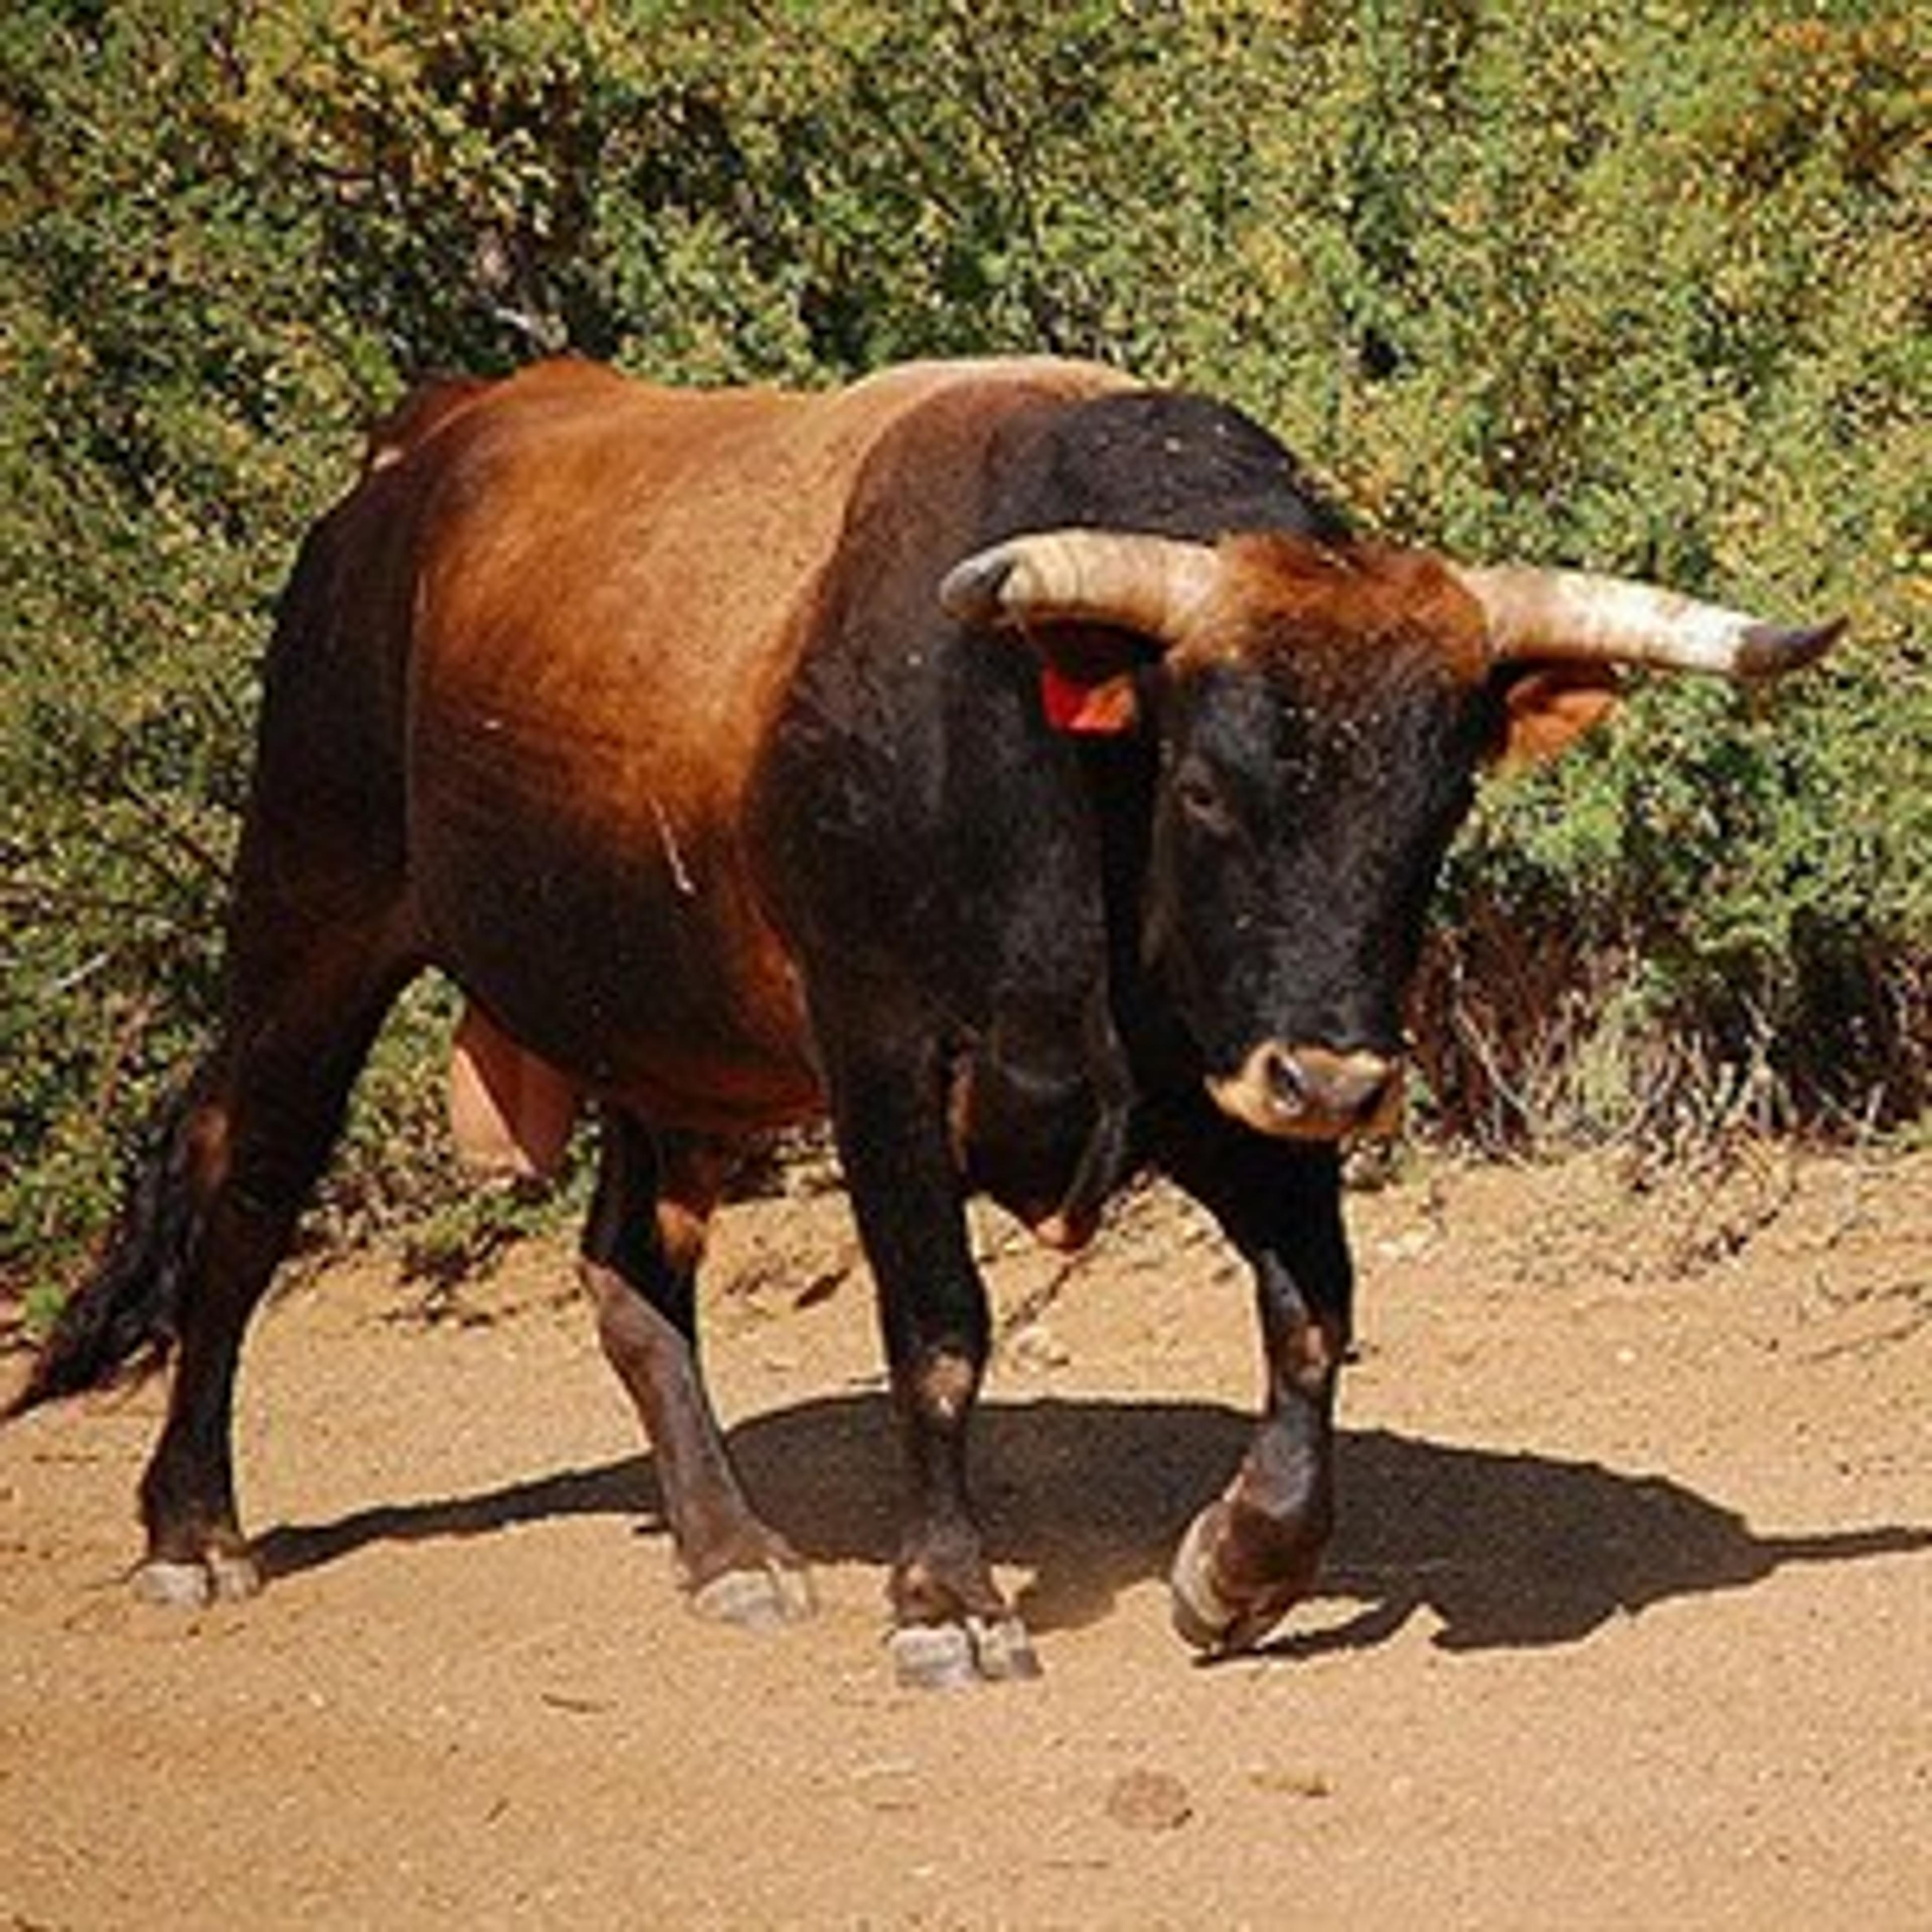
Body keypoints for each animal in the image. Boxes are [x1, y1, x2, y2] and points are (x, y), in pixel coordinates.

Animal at [9, 355, 1841, 1686]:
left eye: (1440, 803)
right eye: (1206, 784)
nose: (1337, 1076)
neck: (1052, 771)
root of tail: (425, 449)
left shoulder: (1207, 1076)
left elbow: (1315, 1314)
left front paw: (1238, 1567)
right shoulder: (888, 1054)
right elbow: (942, 1328)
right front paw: (950, 1601)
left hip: (665, 1042)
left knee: (629, 1273)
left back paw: (731, 1553)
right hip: (311, 923)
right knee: (245, 1206)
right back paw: (193, 1531)